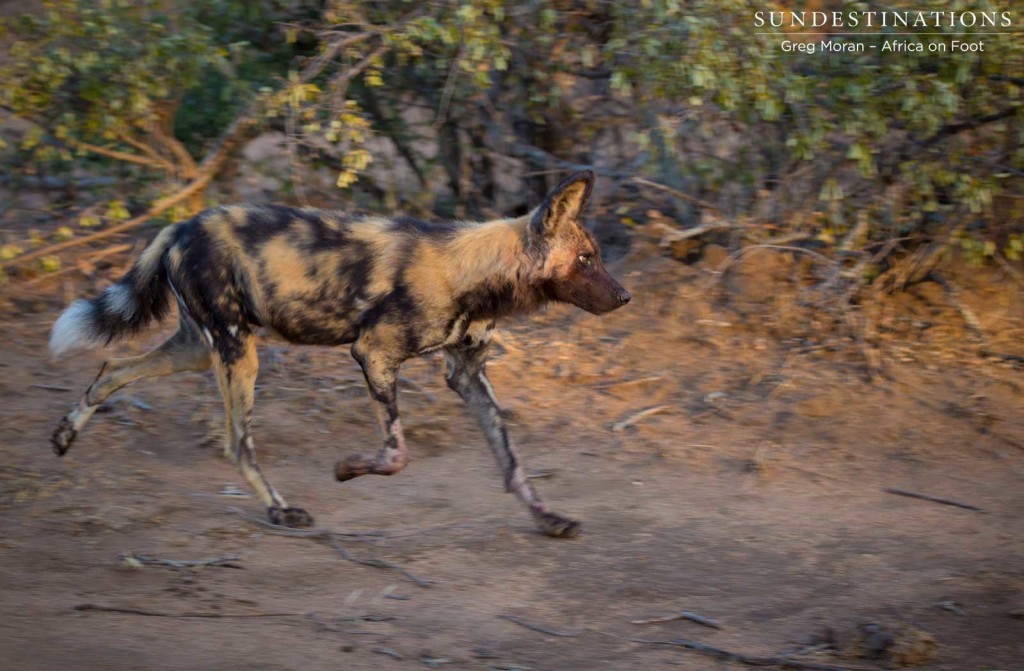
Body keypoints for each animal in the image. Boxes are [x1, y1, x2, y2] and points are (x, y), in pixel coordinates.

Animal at [49, 172, 630, 540]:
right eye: (585, 260)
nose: (625, 297)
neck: (477, 274)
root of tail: (181, 223)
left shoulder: (467, 375)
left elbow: (512, 464)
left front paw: (548, 519)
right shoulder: (373, 355)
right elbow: (396, 454)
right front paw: (347, 469)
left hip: (198, 347)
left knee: (113, 369)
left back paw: (64, 434)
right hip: (238, 351)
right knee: (238, 443)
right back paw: (282, 512)